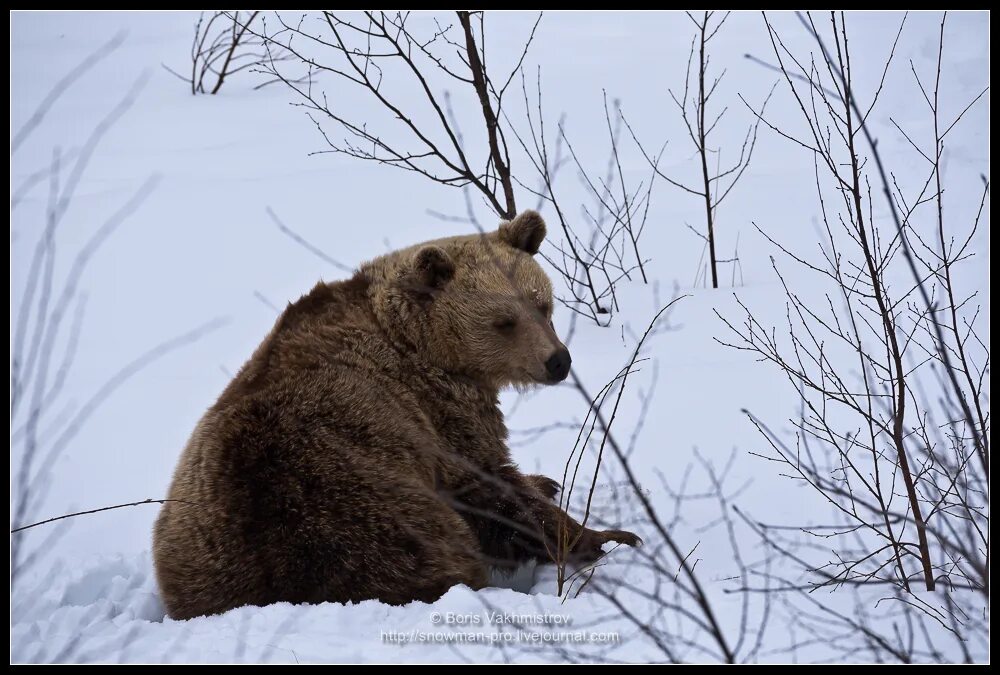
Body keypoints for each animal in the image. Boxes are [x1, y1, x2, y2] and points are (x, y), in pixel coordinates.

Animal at [156, 210, 640, 616]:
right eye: (504, 321)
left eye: (542, 303)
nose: (557, 361)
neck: (419, 341)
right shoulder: (437, 409)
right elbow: (489, 482)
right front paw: (610, 538)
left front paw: (548, 483)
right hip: (359, 511)